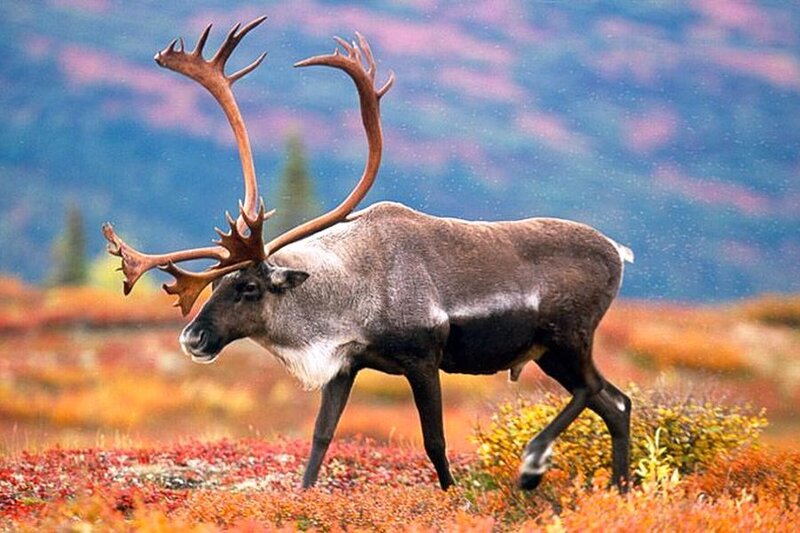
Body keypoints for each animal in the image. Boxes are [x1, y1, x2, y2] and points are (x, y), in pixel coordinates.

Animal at [103, 17, 634, 492]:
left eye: (249, 287)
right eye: (214, 282)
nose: (192, 338)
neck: (351, 294)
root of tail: (617, 250)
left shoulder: (423, 359)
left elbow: (435, 441)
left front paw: (452, 495)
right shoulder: (346, 365)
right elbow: (321, 437)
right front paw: (304, 496)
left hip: (569, 337)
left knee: (595, 391)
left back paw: (533, 464)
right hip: (550, 353)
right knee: (618, 402)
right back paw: (620, 489)